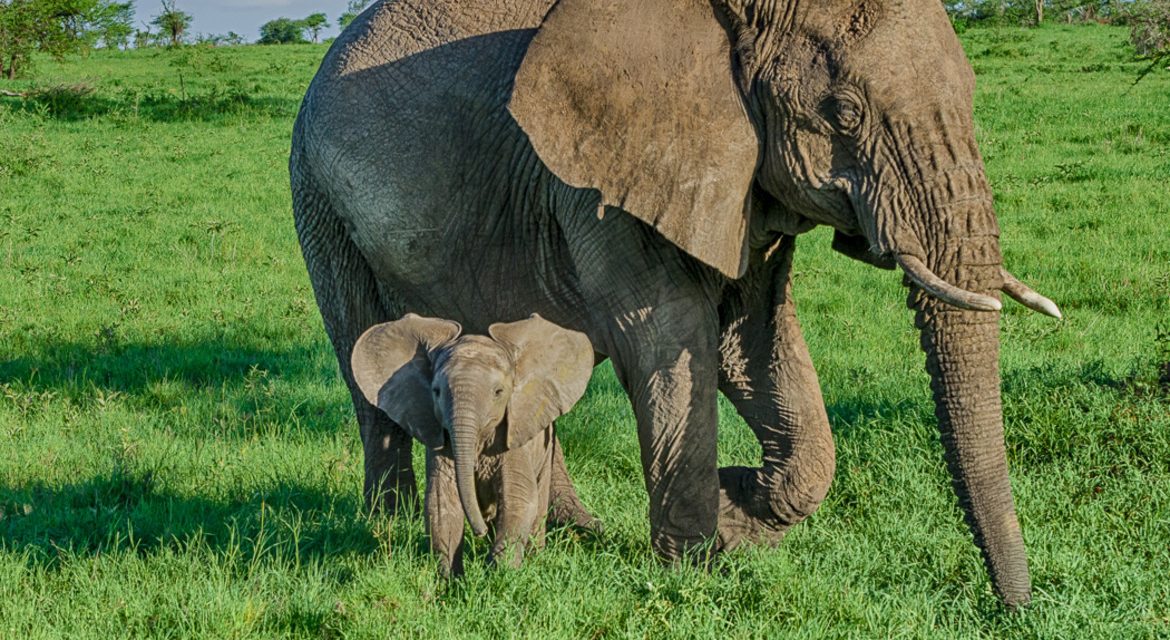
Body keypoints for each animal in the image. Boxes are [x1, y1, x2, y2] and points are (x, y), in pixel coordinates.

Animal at [350, 313, 598, 575]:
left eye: (499, 392)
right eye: (436, 392)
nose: (479, 531)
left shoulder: (514, 438)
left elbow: (518, 498)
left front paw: (498, 574)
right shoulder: (444, 440)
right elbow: (441, 501)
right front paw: (452, 580)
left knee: (538, 501)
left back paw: (533, 557)